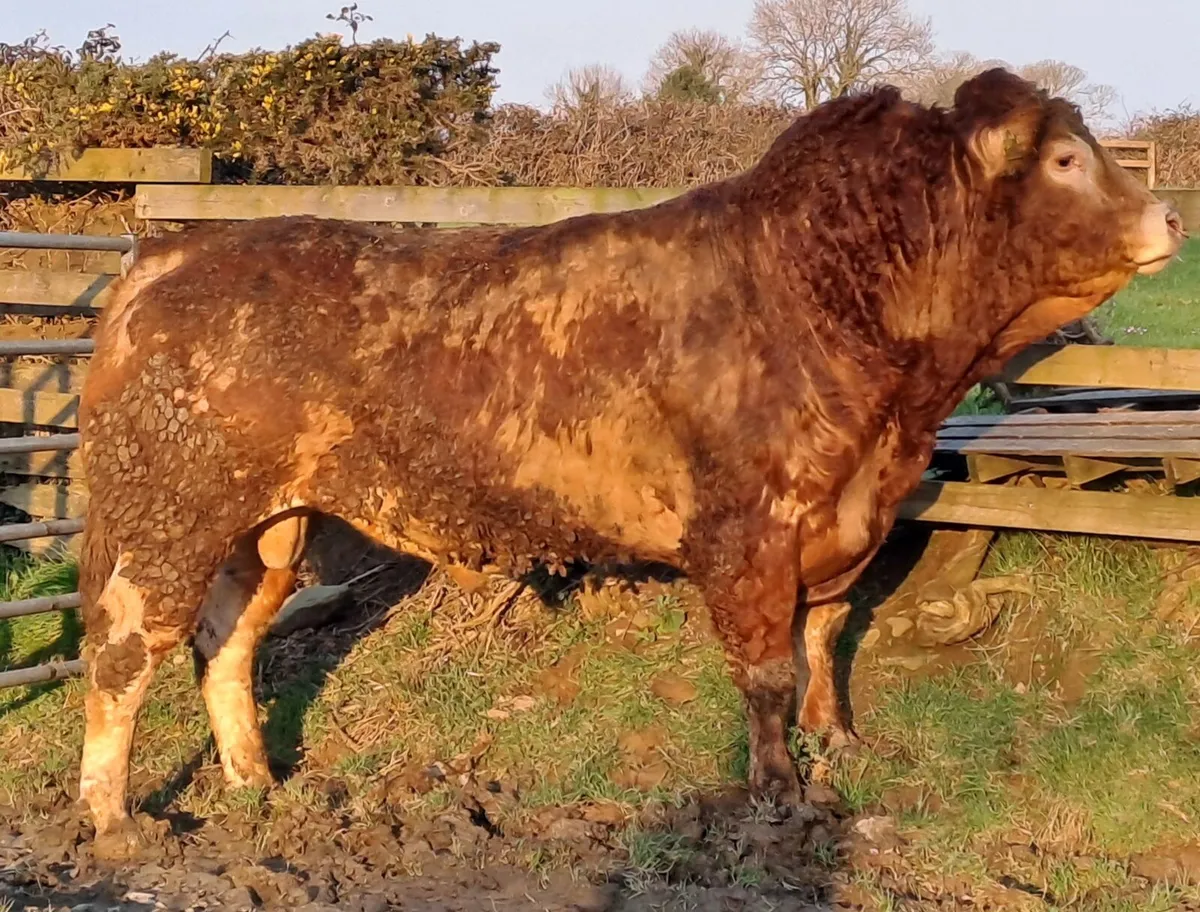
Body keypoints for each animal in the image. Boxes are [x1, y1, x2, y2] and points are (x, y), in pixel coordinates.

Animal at [75, 67, 1184, 860]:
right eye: (1066, 161)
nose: (1171, 216)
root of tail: (171, 254)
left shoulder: (844, 527)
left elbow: (824, 641)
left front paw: (837, 741)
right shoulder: (746, 535)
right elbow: (767, 672)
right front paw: (778, 794)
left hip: (267, 530)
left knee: (225, 644)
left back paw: (258, 782)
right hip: (167, 518)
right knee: (126, 651)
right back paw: (114, 819)